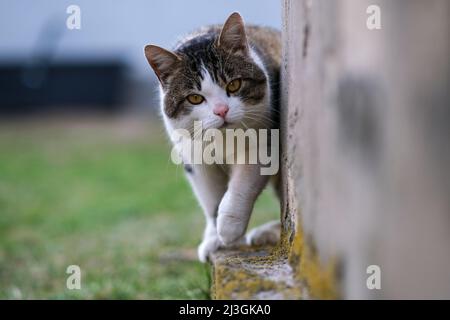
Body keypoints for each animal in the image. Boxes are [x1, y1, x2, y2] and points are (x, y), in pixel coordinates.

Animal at [144, 12, 282, 262]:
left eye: (234, 84)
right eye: (195, 98)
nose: (221, 110)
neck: (222, 140)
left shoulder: (262, 144)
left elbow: (241, 185)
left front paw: (228, 228)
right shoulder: (194, 158)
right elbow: (211, 201)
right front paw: (214, 238)